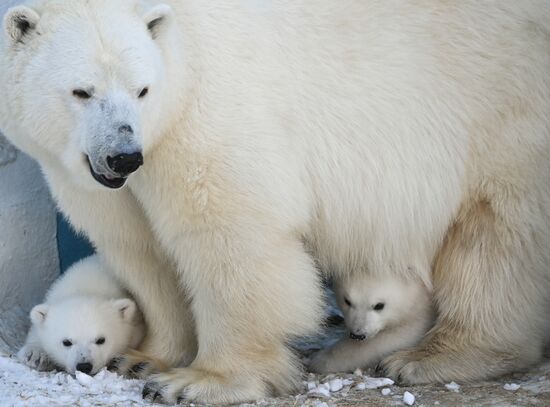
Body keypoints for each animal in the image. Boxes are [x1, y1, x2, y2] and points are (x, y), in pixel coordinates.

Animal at [1, 0, 550, 404]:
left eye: (141, 89)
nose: (123, 157)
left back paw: (435, 356)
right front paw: (144, 357)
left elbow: (229, 233)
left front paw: (201, 381)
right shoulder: (100, 174)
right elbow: (141, 249)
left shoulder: (206, 111)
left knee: (497, 230)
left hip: (502, 107)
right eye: (82, 91)